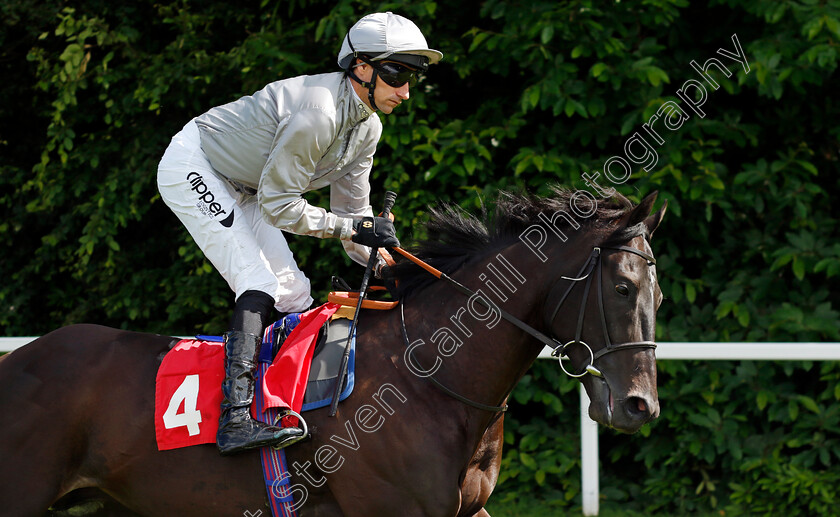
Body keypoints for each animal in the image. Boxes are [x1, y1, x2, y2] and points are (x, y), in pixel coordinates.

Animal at [1, 187, 664, 512]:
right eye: (623, 287)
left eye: (657, 291)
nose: (641, 406)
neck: (426, 375)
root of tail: (16, 361)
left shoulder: (466, 511)